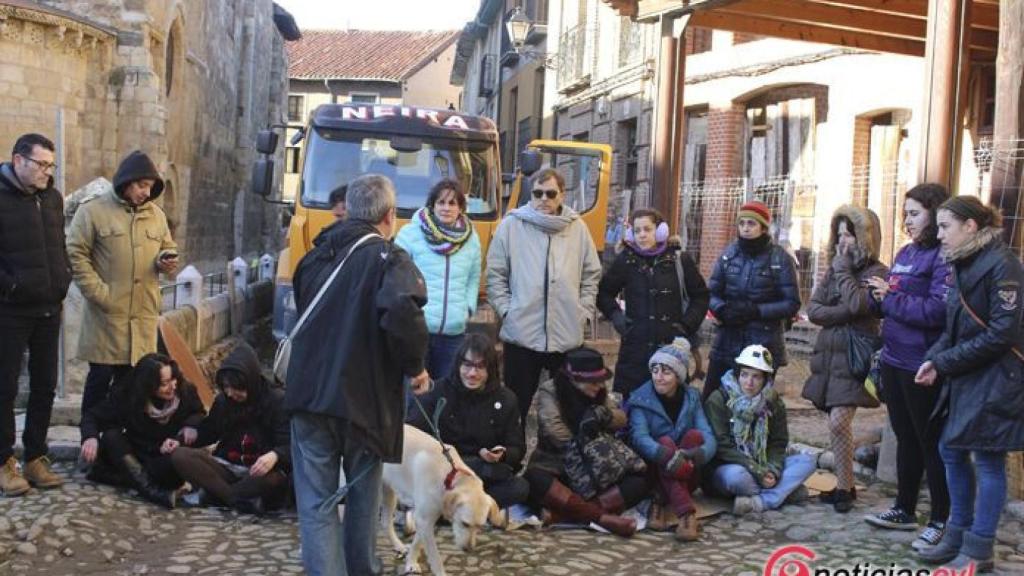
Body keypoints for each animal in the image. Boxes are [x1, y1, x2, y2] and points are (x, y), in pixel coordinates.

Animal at [380, 422, 503, 573]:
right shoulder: (424, 519)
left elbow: (417, 543)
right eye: (464, 523)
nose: (468, 549)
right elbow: (435, 558)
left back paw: (399, 546)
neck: (449, 476)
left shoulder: (424, 520)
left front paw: (411, 562)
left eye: (479, 526)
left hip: (389, 491)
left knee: (386, 522)